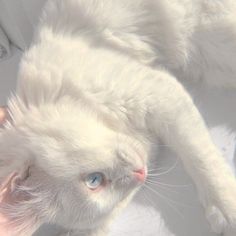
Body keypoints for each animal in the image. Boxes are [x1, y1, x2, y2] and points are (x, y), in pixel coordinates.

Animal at [0, 0, 236, 235]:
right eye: (115, 196)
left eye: (93, 180)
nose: (140, 173)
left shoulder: (159, 94)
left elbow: (200, 157)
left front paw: (227, 209)